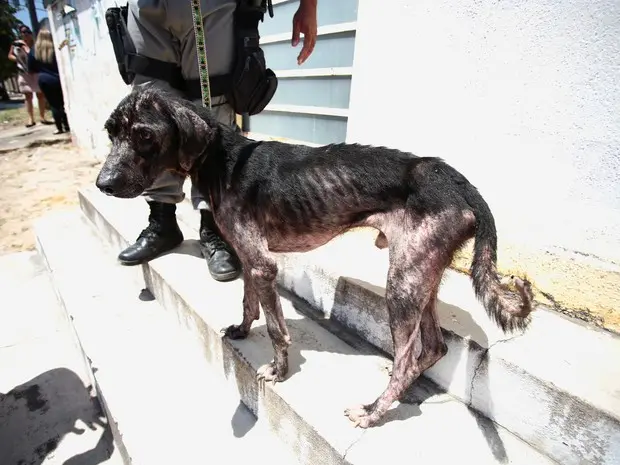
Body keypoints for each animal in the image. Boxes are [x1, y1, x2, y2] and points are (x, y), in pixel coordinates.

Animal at [95, 87, 532, 428]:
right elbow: (248, 302)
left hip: (403, 284)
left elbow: (276, 329)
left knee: (409, 358)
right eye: (111, 133)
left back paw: (373, 410)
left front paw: (278, 371)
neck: (223, 159)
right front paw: (241, 330)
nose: (103, 184)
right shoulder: (248, 259)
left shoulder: (263, 265)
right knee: (434, 348)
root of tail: (456, 179)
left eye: (144, 134)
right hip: (421, 277)